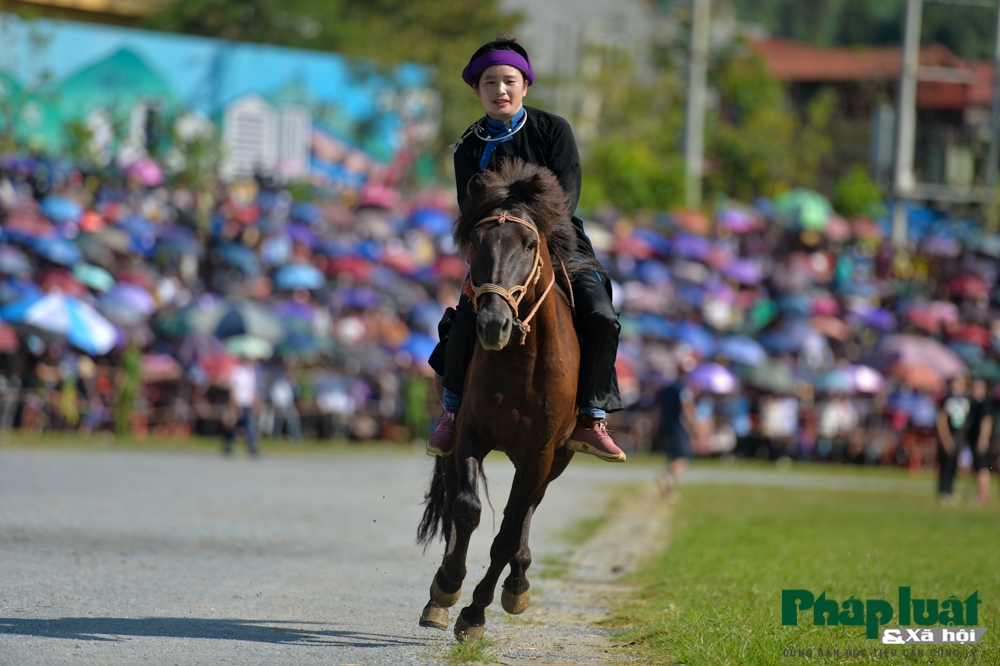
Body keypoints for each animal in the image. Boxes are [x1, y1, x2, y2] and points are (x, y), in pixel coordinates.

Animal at [416, 158, 600, 640]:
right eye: (476, 243)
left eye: (530, 242)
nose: (492, 324)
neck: (522, 363)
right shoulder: (469, 435)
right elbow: (466, 510)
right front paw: (447, 587)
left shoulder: (540, 454)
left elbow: (508, 532)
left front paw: (476, 612)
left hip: (555, 459)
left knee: (528, 511)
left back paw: (518, 583)